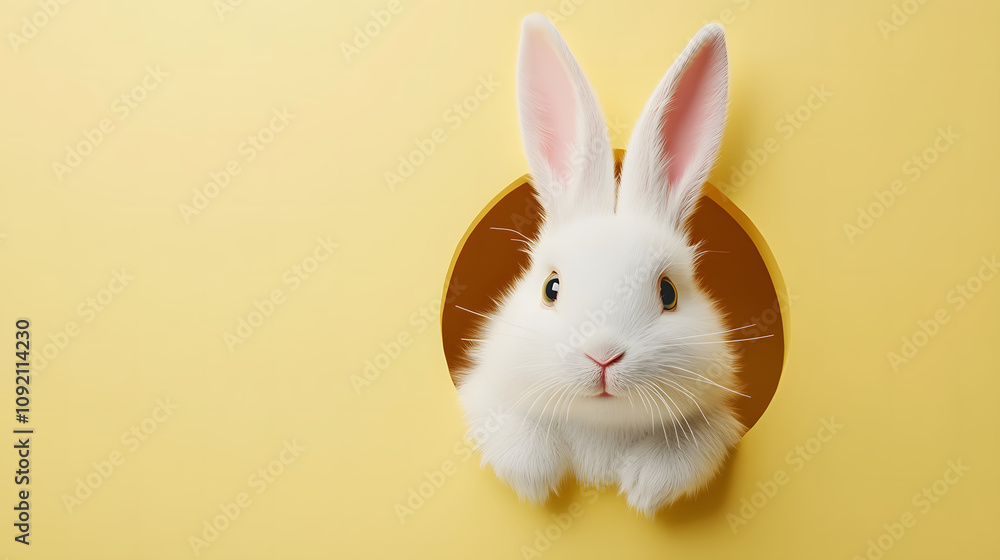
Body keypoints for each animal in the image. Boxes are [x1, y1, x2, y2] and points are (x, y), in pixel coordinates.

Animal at [456, 13, 747, 517]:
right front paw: (537, 481)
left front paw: (645, 489)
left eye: (668, 292)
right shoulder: (485, 396)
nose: (603, 355)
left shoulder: (714, 423)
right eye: (551, 288)